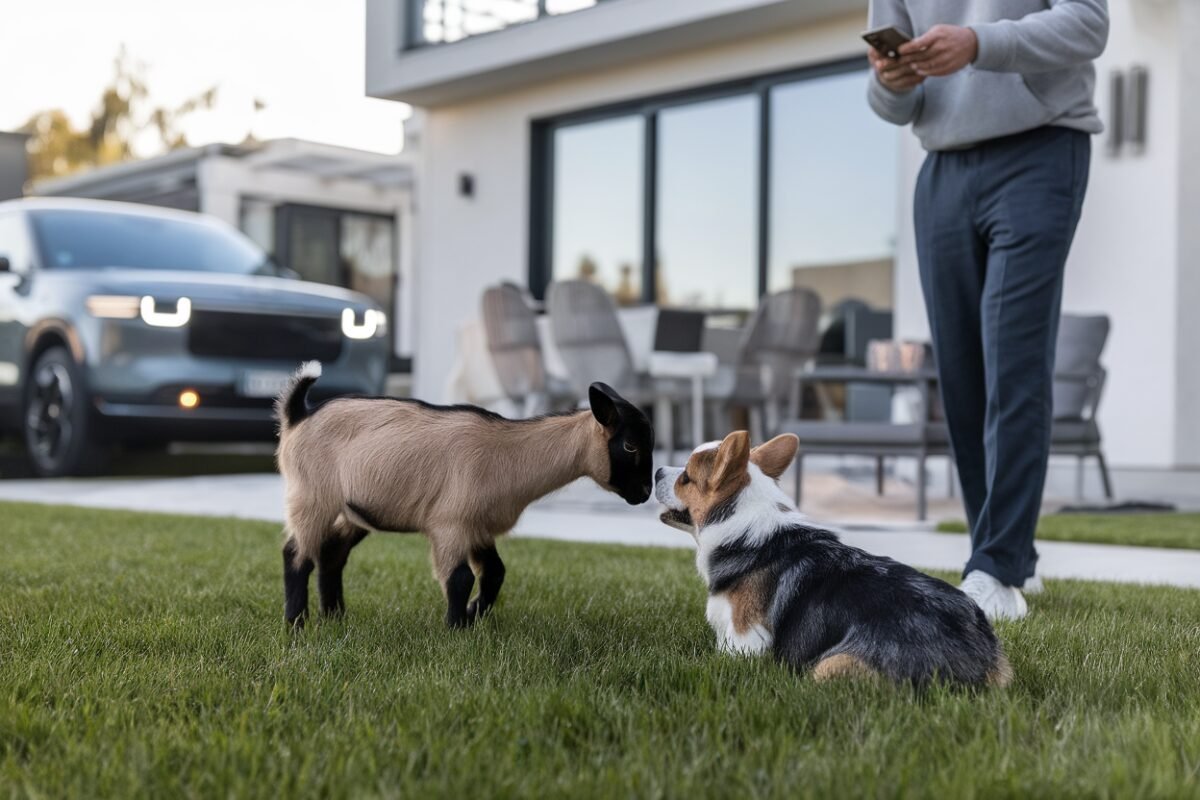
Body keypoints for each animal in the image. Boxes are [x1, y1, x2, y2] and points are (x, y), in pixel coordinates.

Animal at [275, 362, 654, 628]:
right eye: (630, 445)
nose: (645, 493)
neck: (511, 453)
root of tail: (298, 417)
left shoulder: (478, 527)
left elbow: (495, 573)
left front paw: (473, 615)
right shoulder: (451, 524)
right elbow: (460, 578)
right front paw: (457, 628)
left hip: (351, 510)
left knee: (331, 553)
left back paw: (334, 616)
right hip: (311, 496)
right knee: (296, 554)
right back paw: (297, 622)